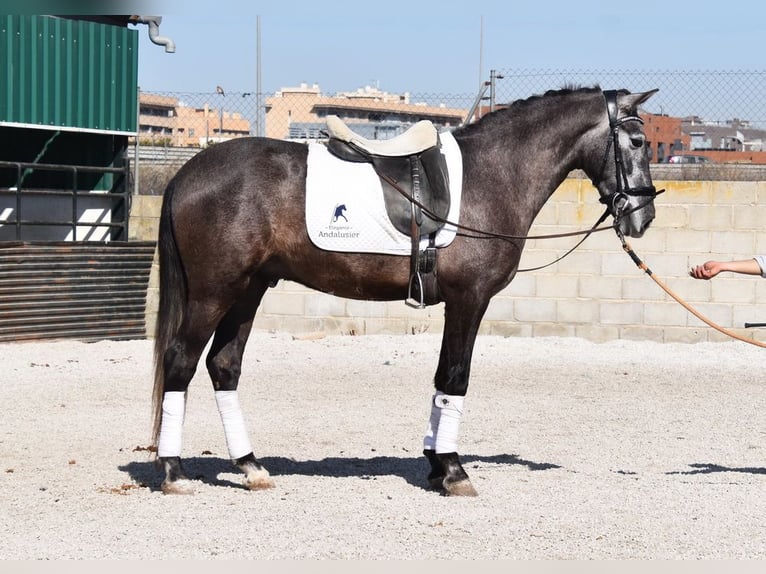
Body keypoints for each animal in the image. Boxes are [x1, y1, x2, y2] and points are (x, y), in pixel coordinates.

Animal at [148, 88, 660, 498]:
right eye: (637, 141)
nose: (644, 217)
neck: (493, 174)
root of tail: (188, 173)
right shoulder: (470, 299)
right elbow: (455, 378)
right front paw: (454, 471)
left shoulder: (458, 303)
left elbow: (441, 380)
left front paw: (436, 463)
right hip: (215, 292)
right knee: (180, 361)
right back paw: (174, 472)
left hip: (248, 291)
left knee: (223, 366)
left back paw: (250, 466)